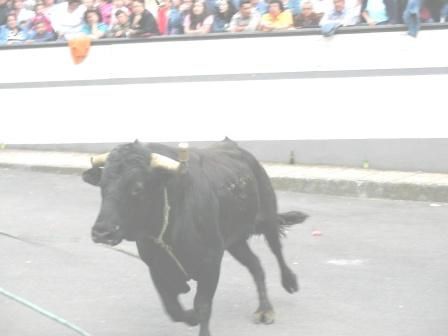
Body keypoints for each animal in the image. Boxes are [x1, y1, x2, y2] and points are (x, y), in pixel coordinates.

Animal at [81, 139, 308, 336]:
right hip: (234, 242)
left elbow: (203, 305)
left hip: (268, 217)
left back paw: (286, 287)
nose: (102, 232)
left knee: (277, 251)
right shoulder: (155, 266)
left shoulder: (211, 261)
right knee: (256, 265)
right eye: (102, 185)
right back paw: (263, 309)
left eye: (137, 187)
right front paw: (190, 317)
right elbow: (172, 307)